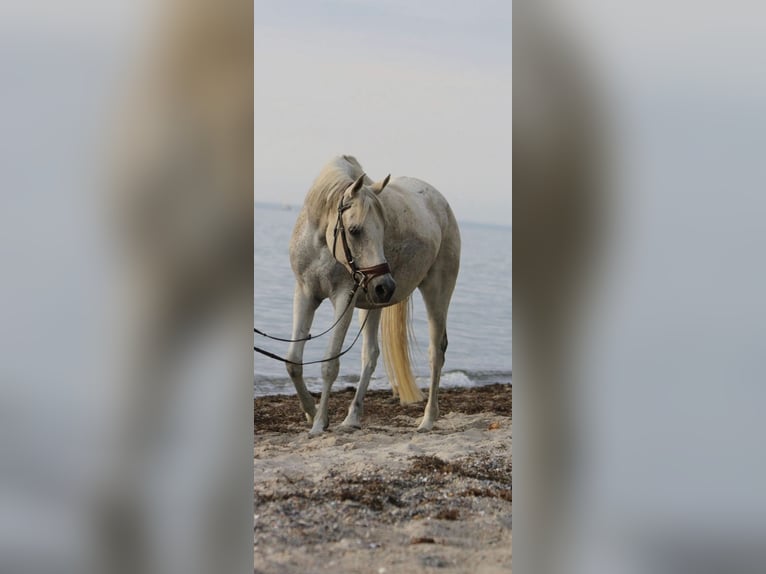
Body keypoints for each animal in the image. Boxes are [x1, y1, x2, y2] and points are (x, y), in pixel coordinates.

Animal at [284, 155, 461, 435]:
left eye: (383, 229)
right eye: (354, 230)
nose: (386, 285)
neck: (322, 242)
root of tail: (440, 202)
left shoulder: (344, 300)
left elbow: (329, 365)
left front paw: (320, 423)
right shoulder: (305, 294)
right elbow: (293, 361)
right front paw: (311, 413)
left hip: (436, 293)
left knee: (436, 351)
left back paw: (427, 420)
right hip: (372, 305)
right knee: (370, 355)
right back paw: (352, 418)